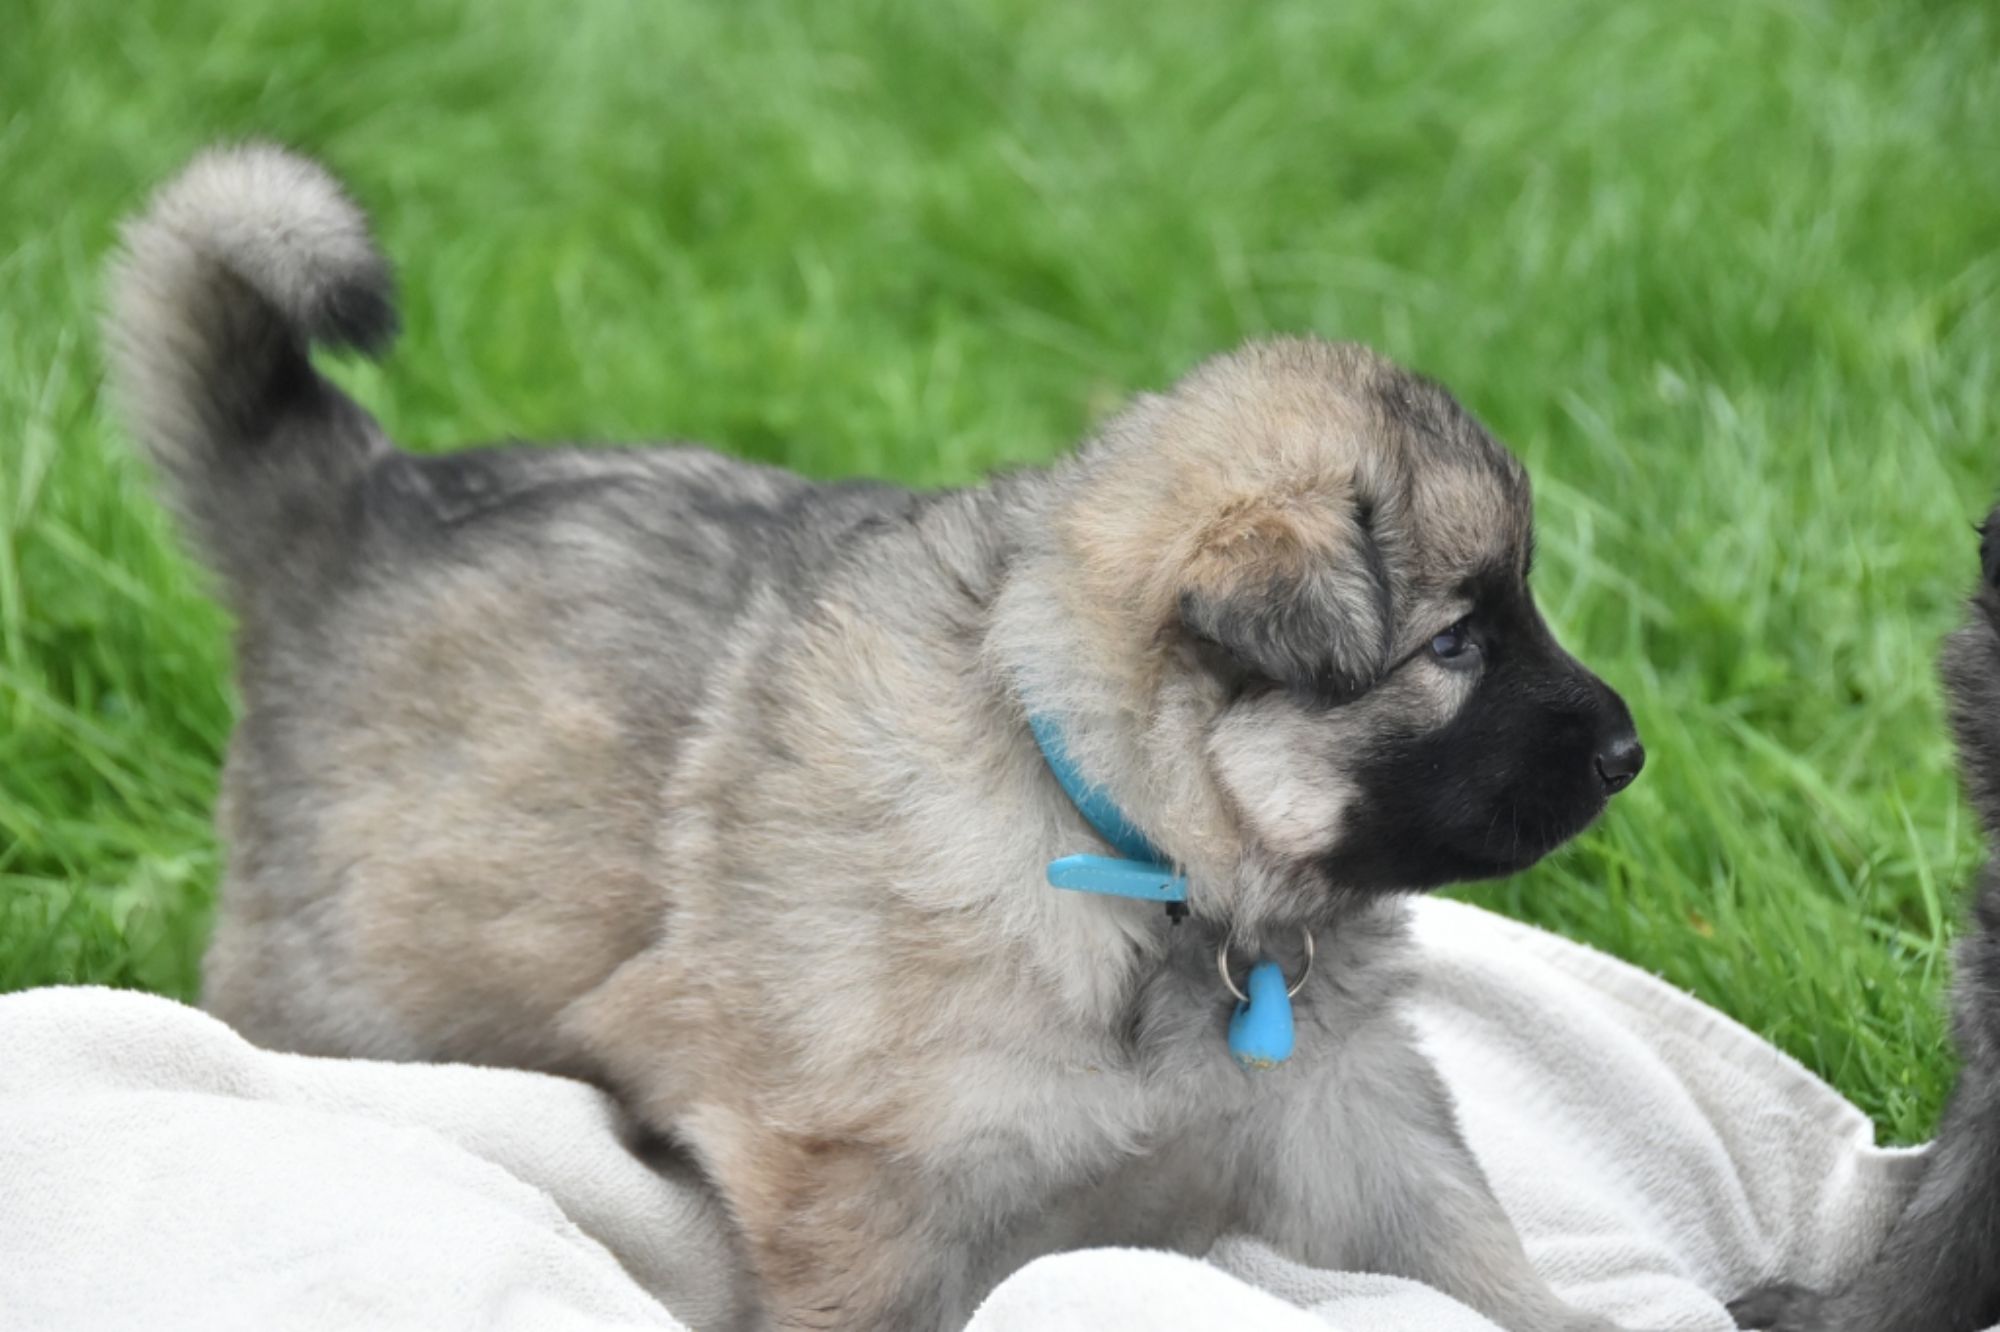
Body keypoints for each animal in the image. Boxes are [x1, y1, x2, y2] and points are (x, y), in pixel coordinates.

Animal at [105, 144, 1646, 1331]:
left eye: (1517, 612)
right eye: (1455, 645)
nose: (1629, 752)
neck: (1120, 842)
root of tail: (349, 502)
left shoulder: (1344, 1114)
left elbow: (1470, 1246)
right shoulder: (853, 1187)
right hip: (346, 1002)